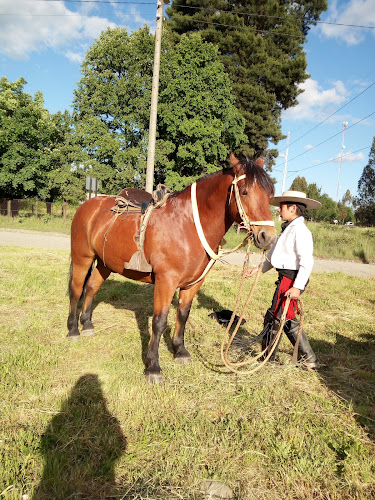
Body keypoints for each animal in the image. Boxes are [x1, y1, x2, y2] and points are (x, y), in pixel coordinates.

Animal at [68, 152, 280, 382]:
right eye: (244, 191)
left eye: (269, 194)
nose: (268, 237)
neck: (187, 225)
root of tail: (88, 205)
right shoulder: (166, 281)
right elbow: (159, 321)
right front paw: (153, 366)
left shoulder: (194, 283)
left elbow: (183, 315)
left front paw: (180, 350)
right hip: (82, 258)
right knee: (76, 291)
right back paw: (73, 330)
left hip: (105, 263)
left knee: (91, 287)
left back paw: (87, 324)